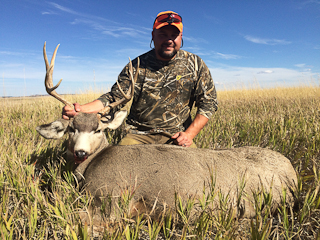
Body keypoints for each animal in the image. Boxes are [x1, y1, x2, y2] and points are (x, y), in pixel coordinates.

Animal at [37, 43, 298, 227]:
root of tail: (293, 173)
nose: (81, 152)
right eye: (71, 128)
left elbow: (69, 217)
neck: (90, 167)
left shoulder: (113, 200)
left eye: (98, 129)